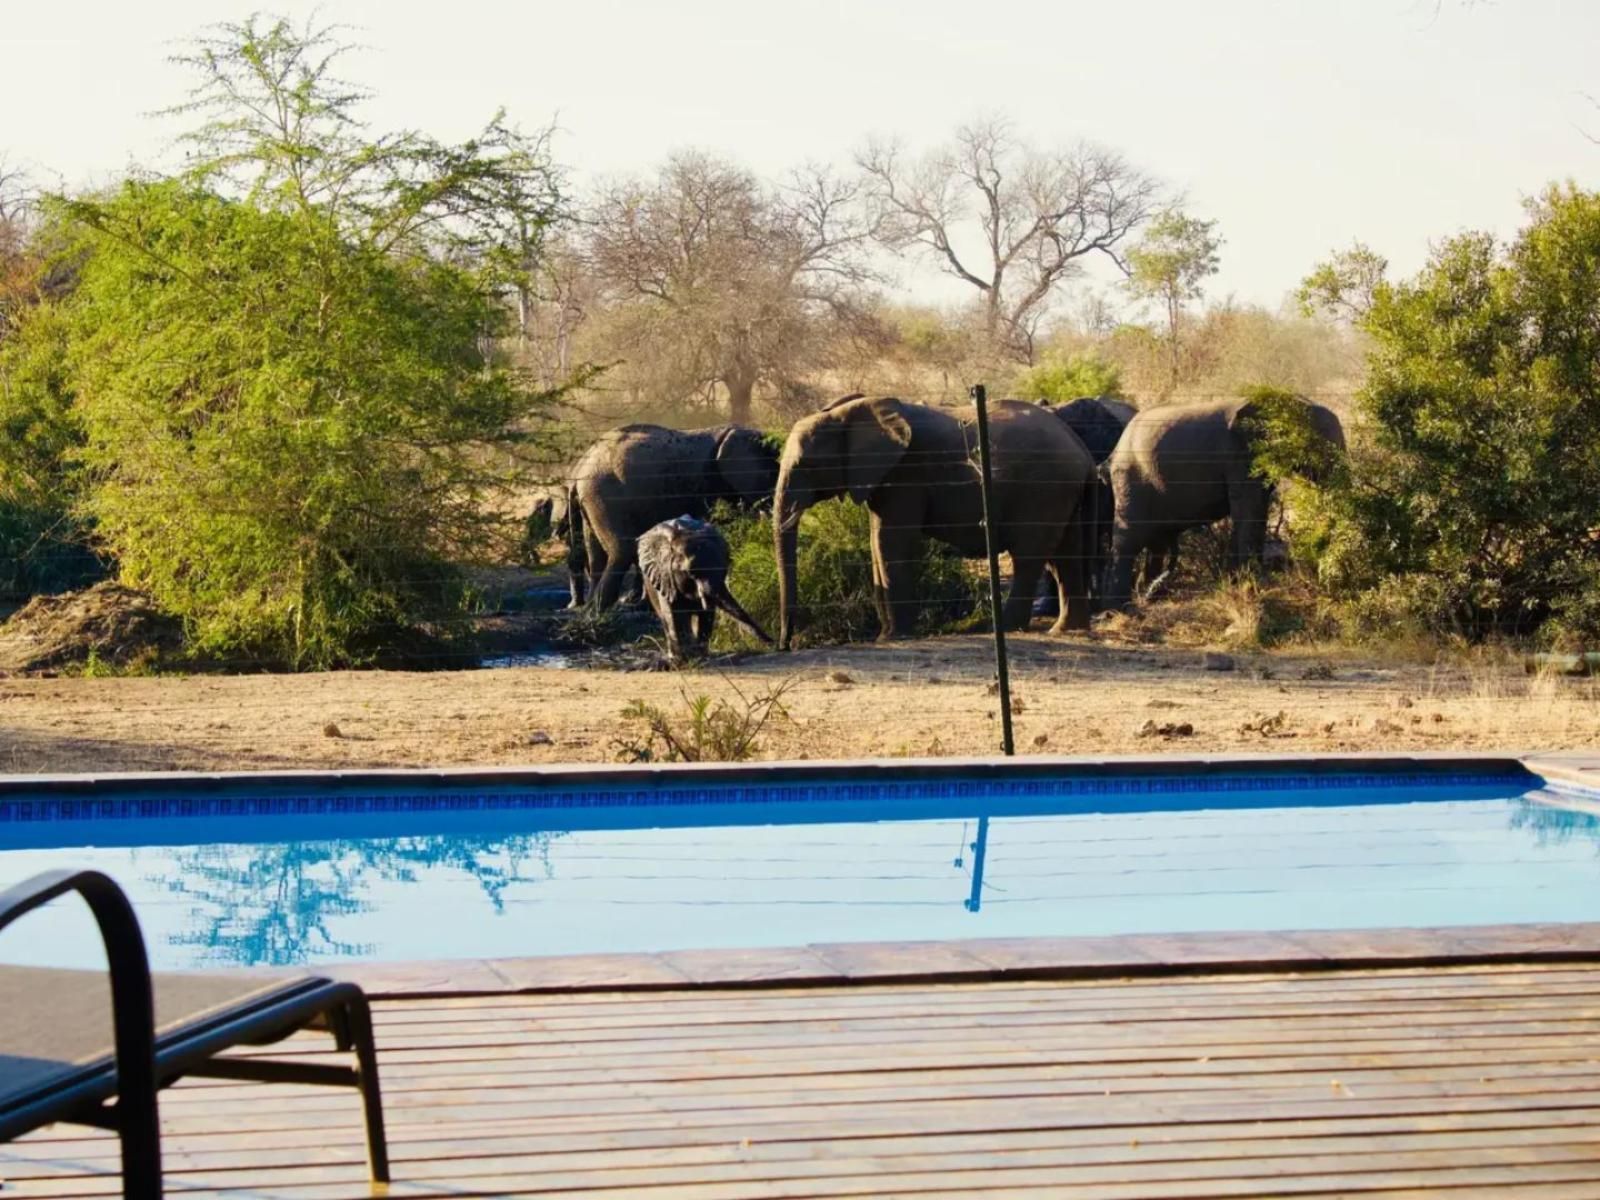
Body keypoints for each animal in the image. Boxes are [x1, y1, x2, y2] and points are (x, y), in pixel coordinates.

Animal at [568, 423, 779, 612]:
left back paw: (595, 609)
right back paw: (599, 611)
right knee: (622, 550)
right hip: (608, 497)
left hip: (592, 500)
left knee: (596, 555)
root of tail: (579, 470)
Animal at [638, 516, 772, 663]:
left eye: (725, 570)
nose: (774, 643)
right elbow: (674, 613)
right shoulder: (665, 576)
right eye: (691, 573)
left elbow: (706, 615)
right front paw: (684, 659)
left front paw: (699, 655)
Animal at [773, 395, 1097, 647]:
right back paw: (1065, 629)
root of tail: (1083, 452)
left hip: (1043, 489)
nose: (786, 644)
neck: (845, 413)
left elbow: (891, 542)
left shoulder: (906, 473)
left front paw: (894, 637)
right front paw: (885, 635)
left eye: (806, 465)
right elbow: (877, 543)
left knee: (1029, 557)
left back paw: (1005, 627)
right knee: (1065, 557)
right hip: (1062, 492)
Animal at [1103, 395, 1346, 611]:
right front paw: (1250, 586)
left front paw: (1242, 583)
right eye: (1316, 445)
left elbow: (1256, 509)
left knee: (1156, 541)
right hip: (1130, 477)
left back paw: (1150, 596)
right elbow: (1248, 509)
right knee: (1129, 539)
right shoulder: (1240, 455)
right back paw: (1119, 607)